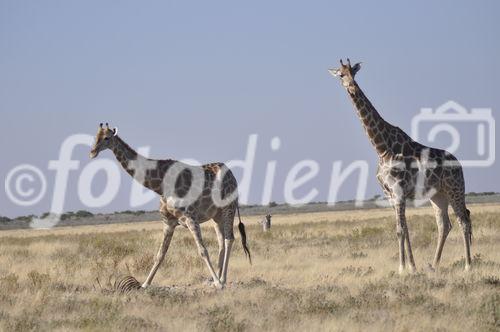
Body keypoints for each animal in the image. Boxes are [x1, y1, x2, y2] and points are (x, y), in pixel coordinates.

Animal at [89, 123, 250, 290]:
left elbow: (202, 250)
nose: (92, 152)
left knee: (229, 239)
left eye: (107, 138)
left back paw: (222, 280)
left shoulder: (191, 218)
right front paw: (145, 284)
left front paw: (218, 283)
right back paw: (216, 278)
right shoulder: (168, 222)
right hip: (216, 215)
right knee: (221, 242)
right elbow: (160, 254)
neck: (160, 185)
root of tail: (232, 176)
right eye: (95, 137)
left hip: (229, 208)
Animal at [328, 59, 472, 272]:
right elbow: (403, 229)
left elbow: (400, 229)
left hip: (455, 189)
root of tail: (459, 164)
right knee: (444, 225)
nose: (352, 87)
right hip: (438, 195)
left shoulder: (399, 192)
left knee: (463, 220)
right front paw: (410, 266)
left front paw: (403, 268)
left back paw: (468, 266)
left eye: (354, 73)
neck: (382, 149)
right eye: (340, 75)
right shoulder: (390, 195)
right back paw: (434, 265)